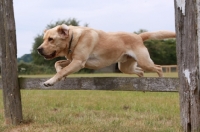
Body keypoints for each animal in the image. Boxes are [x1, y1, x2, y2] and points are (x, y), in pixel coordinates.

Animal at [37, 24, 175, 86]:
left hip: (144, 62)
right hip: (125, 67)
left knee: (158, 68)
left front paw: (50, 81)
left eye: (51, 39)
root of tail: (139, 36)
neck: (73, 38)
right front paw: (61, 77)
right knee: (140, 71)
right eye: (44, 39)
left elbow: (62, 70)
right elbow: (58, 64)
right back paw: (142, 83)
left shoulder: (78, 62)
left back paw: (161, 81)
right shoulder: (73, 60)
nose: (39, 49)